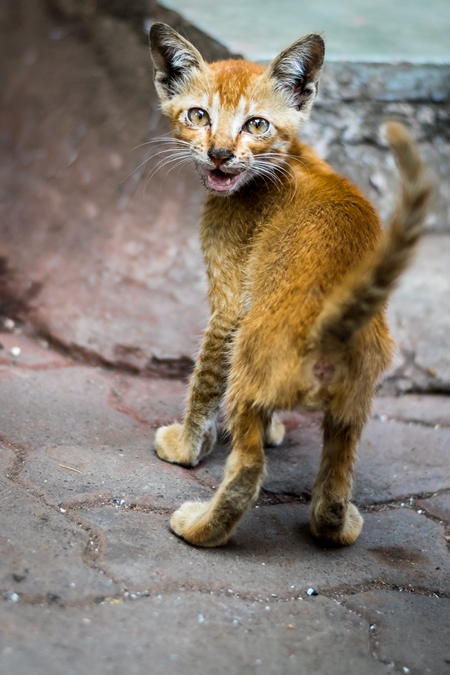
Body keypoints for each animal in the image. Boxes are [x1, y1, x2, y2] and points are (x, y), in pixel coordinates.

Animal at [148, 23, 428, 548]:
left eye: (256, 125)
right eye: (198, 116)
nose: (219, 155)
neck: (291, 156)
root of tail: (335, 322)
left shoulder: (230, 307)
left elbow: (204, 379)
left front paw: (186, 445)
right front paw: (276, 425)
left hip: (249, 356)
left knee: (247, 470)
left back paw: (199, 527)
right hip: (354, 405)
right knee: (337, 477)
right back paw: (335, 526)